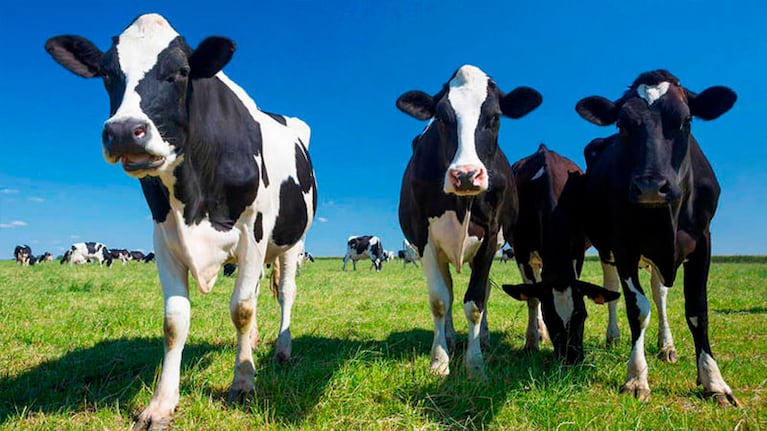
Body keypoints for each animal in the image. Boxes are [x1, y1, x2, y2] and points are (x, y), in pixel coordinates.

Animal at [46, 13, 317, 429]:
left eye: (181, 72)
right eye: (107, 73)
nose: (123, 131)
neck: (194, 194)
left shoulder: (252, 232)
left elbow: (241, 309)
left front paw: (243, 382)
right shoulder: (164, 238)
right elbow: (175, 322)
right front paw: (161, 403)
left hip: (291, 242)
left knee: (284, 293)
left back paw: (281, 351)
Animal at [396, 64, 541, 378]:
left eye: (495, 116)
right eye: (441, 117)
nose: (465, 175)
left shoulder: (490, 236)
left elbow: (475, 302)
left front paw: (475, 365)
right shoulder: (424, 239)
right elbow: (440, 301)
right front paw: (439, 360)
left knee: (483, 292)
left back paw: (484, 338)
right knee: (449, 292)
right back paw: (450, 337)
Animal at [500, 144, 618, 362]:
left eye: (582, 314)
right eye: (550, 318)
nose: (571, 359)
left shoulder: (577, 250)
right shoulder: (521, 252)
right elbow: (532, 298)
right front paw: (532, 342)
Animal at [574, 70, 738, 405]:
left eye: (685, 120)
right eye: (622, 125)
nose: (650, 186)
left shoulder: (703, 240)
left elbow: (697, 309)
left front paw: (713, 380)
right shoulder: (624, 244)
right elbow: (637, 309)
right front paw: (636, 377)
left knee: (660, 294)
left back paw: (667, 346)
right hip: (607, 247)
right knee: (613, 288)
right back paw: (613, 336)